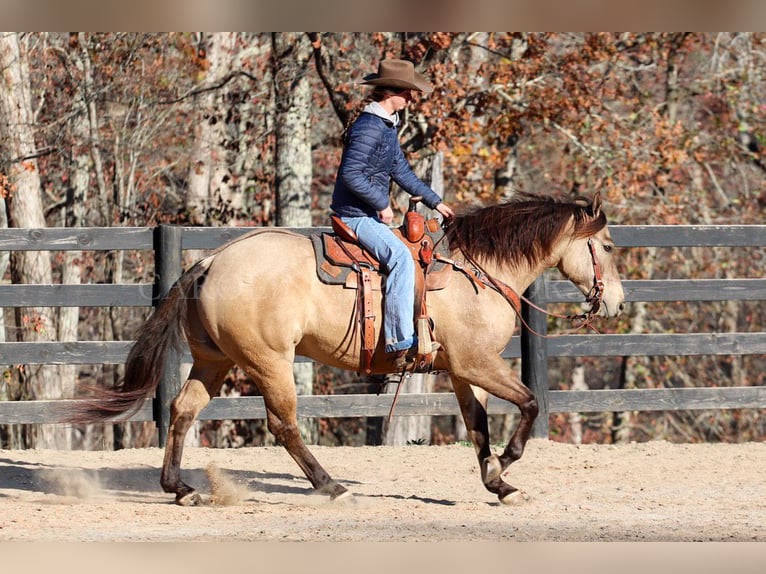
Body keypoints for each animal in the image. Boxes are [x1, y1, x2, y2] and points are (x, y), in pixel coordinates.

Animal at [66, 191, 628, 506]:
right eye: (606, 247)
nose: (617, 303)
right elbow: (529, 404)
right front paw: (506, 465)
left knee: (183, 410)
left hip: (214, 361)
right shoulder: (478, 363)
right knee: (284, 425)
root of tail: (210, 261)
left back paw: (180, 489)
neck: (480, 272)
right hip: (270, 362)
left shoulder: (462, 370)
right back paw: (329, 485)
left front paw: (497, 482)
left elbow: (477, 426)